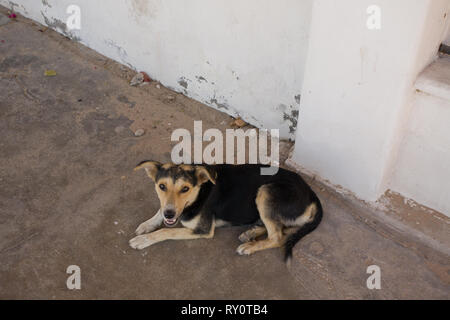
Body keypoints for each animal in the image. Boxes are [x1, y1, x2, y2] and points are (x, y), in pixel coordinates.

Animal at [128, 161, 322, 262]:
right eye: (162, 186)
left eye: (185, 189)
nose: (170, 214)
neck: (200, 192)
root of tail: (311, 192)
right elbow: (159, 211)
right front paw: (147, 225)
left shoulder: (203, 229)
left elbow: (166, 231)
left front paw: (144, 240)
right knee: (283, 228)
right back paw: (250, 233)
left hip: (266, 191)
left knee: (278, 237)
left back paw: (250, 246)